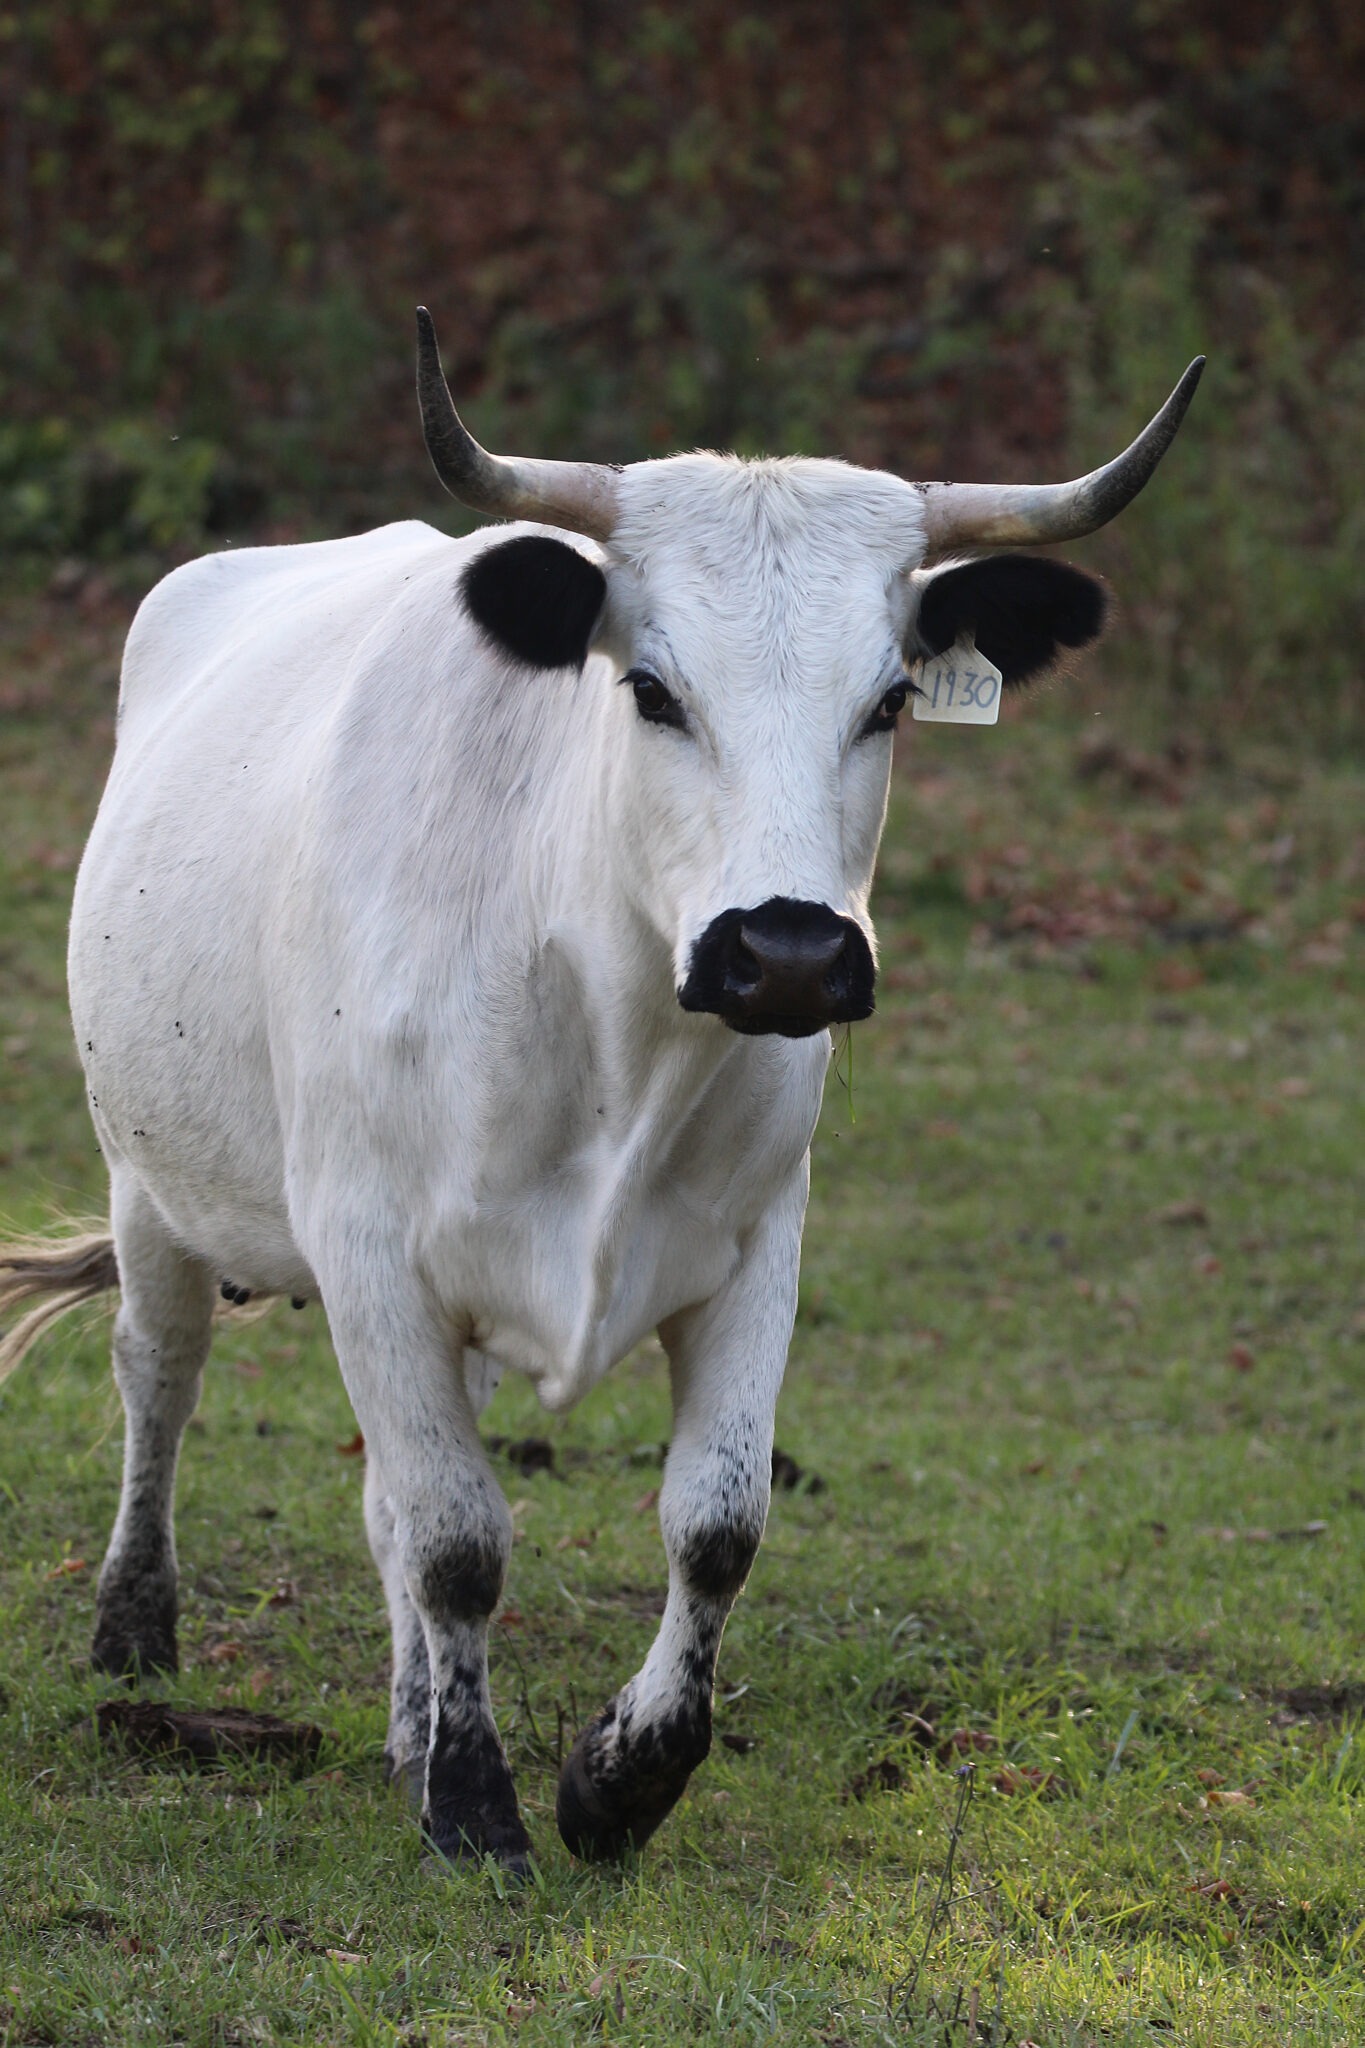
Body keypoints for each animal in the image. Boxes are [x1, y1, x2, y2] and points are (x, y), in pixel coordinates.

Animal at [0, 319, 1203, 1875]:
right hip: (152, 1181)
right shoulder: (368, 1247)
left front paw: (616, 1779)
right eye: (650, 690)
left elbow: (712, 1523)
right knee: (162, 1372)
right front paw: (475, 1802)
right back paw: (136, 1628)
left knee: (385, 1498)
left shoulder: (758, 1247)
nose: (788, 951)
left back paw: (405, 1722)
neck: (605, 1028)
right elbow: (458, 1537)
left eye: (887, 701)